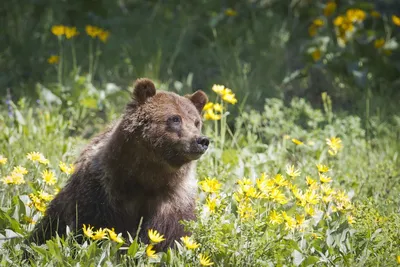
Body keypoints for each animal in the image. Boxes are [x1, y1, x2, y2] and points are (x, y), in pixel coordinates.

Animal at [27, 78, 209, 251]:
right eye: (175, 118)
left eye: (196, 122)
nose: (201, 140)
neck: (147, 177)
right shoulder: (104, 194)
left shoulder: (173, 202)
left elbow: (169, 237)